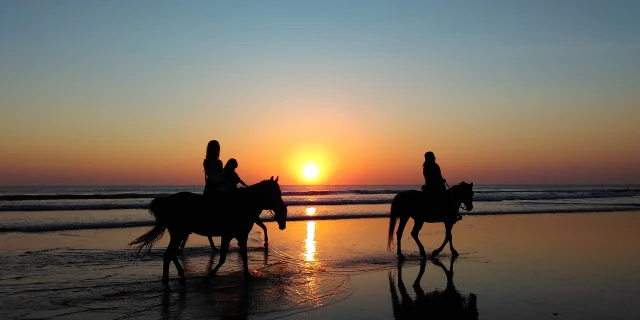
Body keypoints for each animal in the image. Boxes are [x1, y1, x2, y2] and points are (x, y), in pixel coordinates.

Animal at [128, 176, 288, 284]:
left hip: (178, 233)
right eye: (274, 194)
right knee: (168, 254)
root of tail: (166, 201)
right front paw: (211, 273)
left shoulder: (238, 236)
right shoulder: (231, 235)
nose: (283, 212)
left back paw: (179, 275)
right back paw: (168, 279)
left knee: (171, 254)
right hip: (179, 233)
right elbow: (225, 257)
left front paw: (246, 275)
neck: (243, 203)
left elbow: (241, 255)